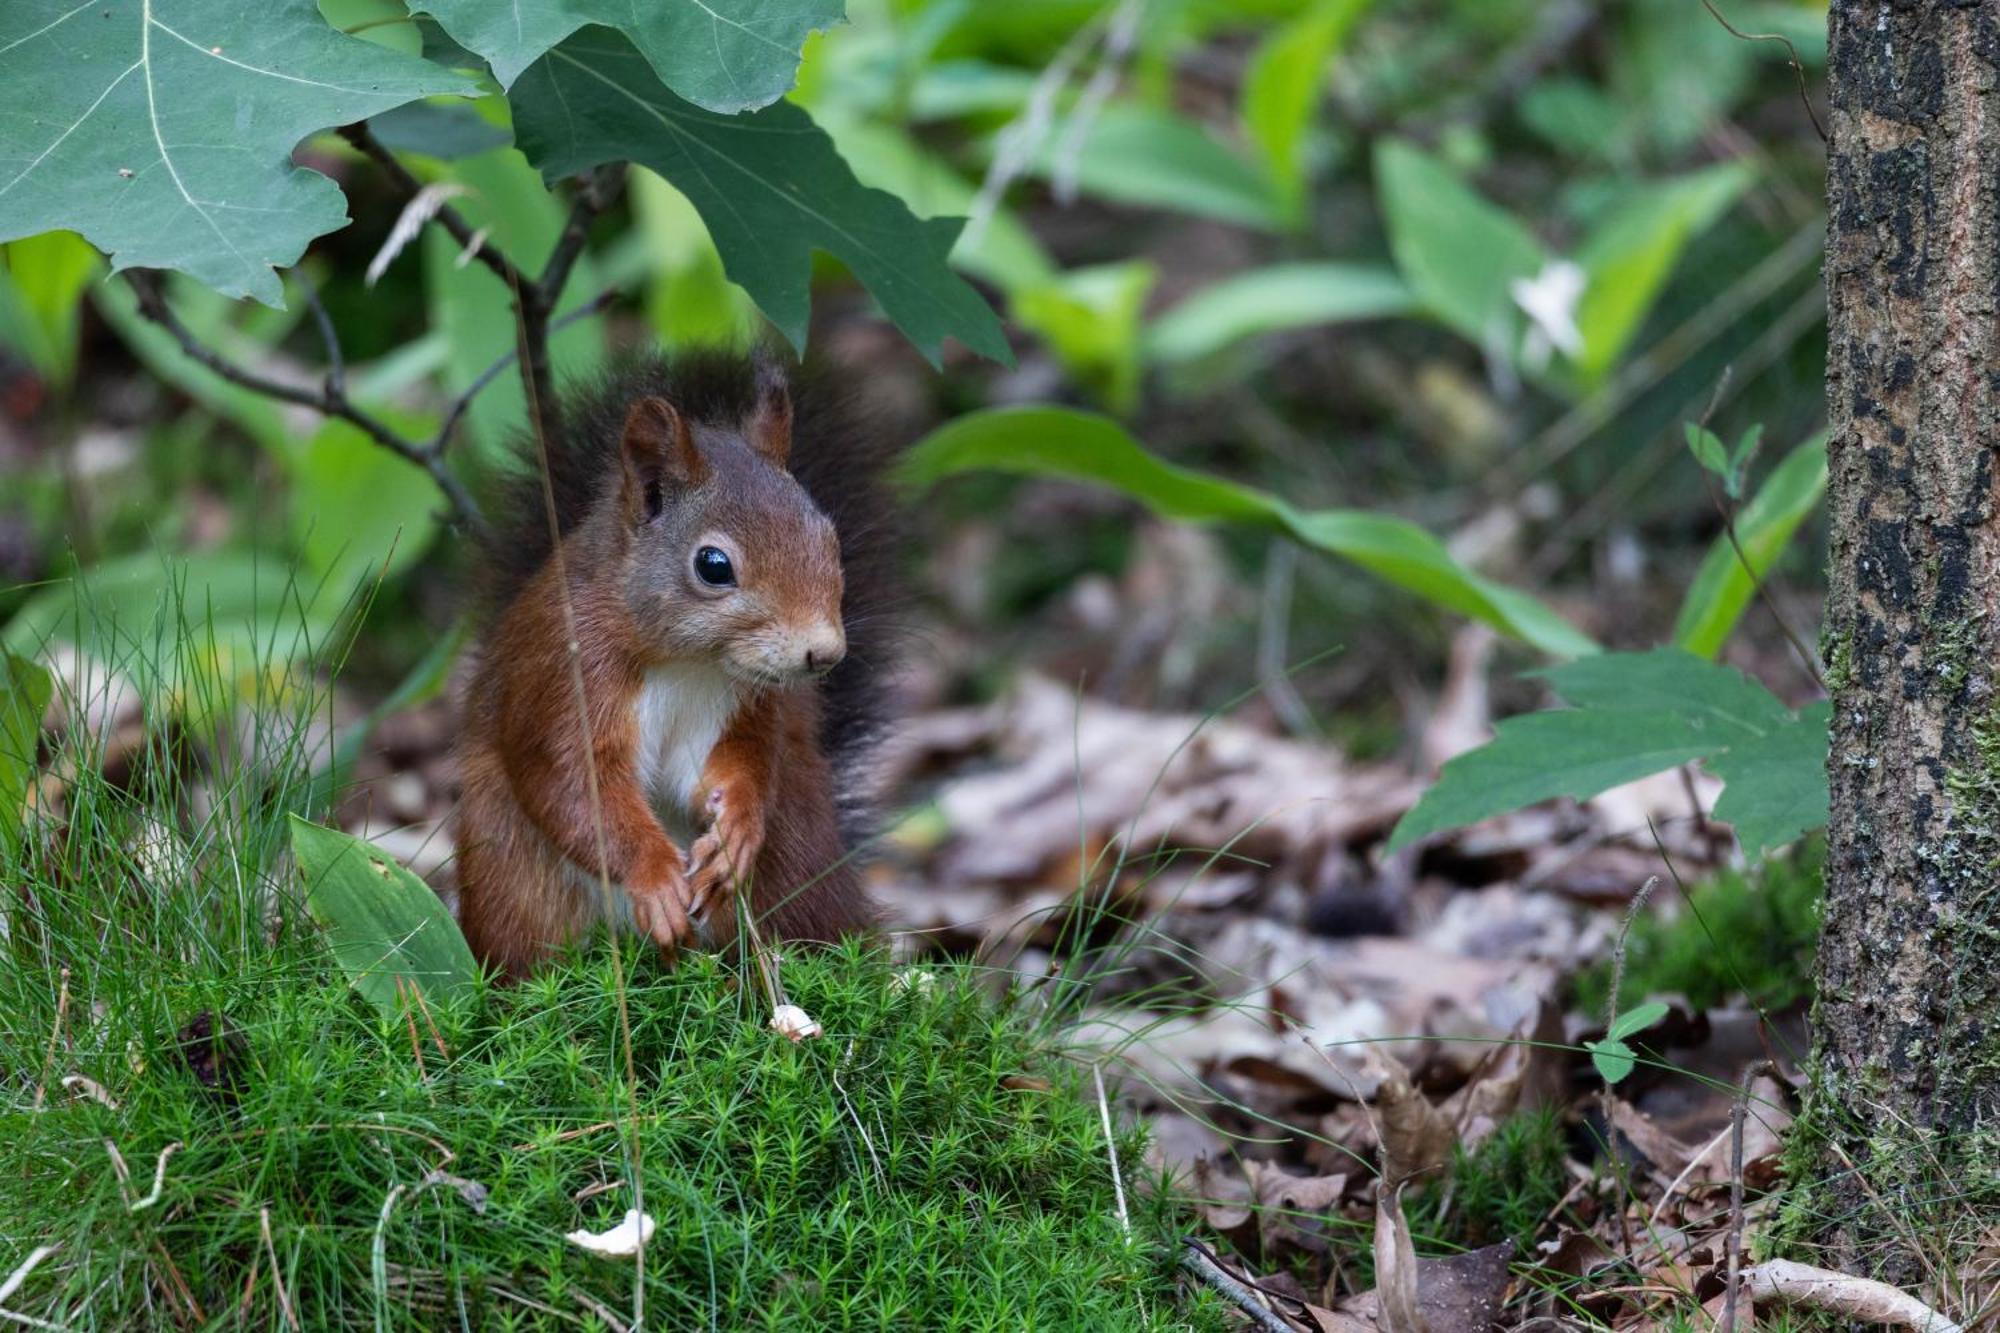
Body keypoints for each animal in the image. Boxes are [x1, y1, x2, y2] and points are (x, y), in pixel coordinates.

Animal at [458, 352, 896, 976]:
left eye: (830, 538)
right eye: (713, 565)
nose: (825, 652)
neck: (690, 663)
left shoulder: (743, 704)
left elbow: (734, 766)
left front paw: (736, 829)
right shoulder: (562, 673)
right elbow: (571, 784)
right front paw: (655, 877)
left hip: (796, 852)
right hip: (510, 879)